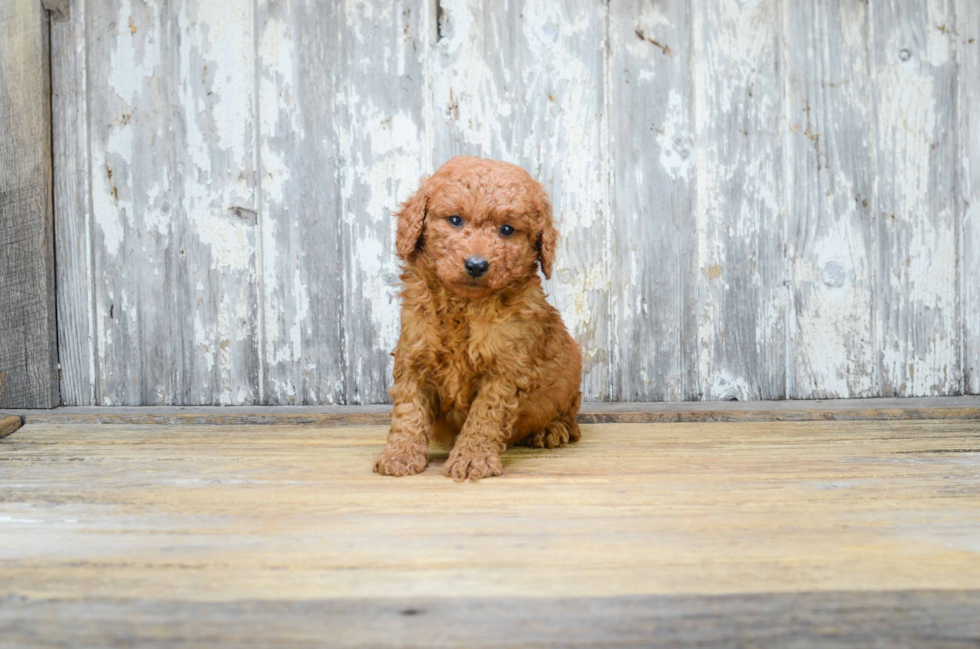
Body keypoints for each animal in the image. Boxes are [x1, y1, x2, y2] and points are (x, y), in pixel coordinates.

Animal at [372, 156, 580, 480]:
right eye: (455, 220)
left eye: (507, 229)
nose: (476, 265)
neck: (464, 304)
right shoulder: (415, 355)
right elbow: (409, 411)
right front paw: (400, 455)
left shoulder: (505, 368)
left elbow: (485, 416)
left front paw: (472, 459)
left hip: (571, 372)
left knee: (570, 418)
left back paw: (551, 429)